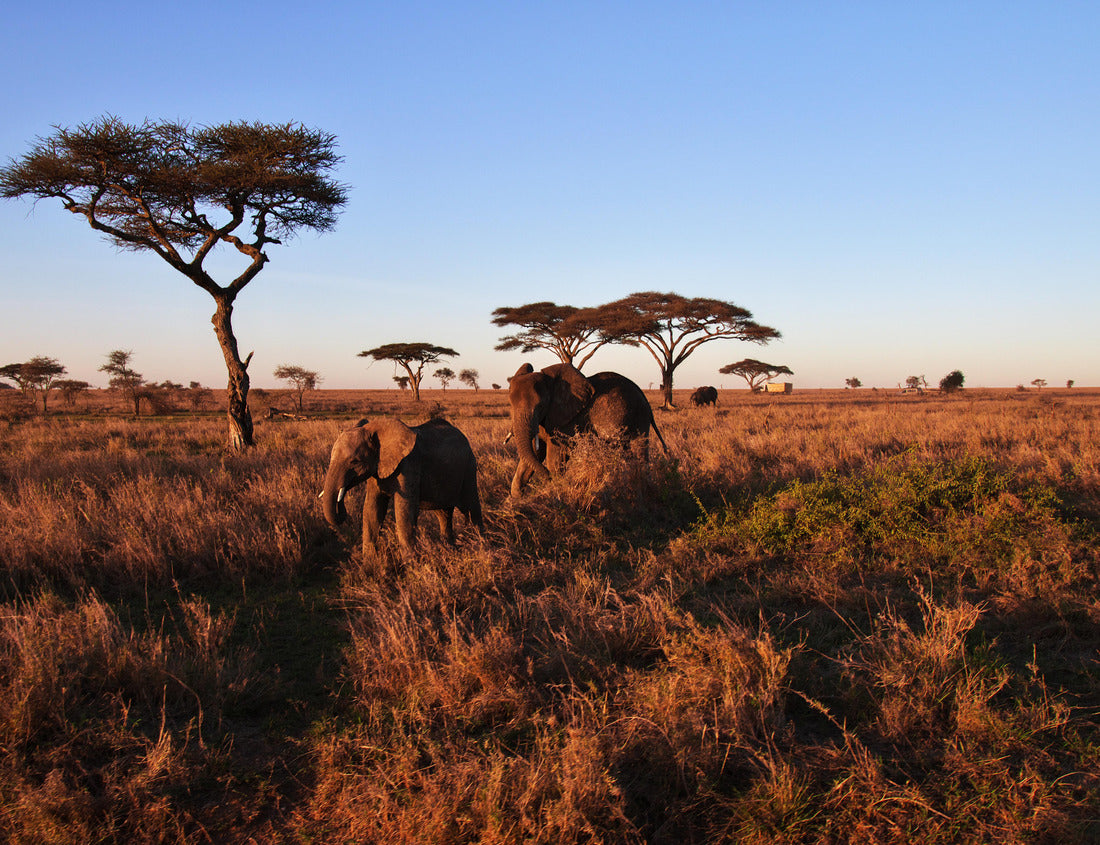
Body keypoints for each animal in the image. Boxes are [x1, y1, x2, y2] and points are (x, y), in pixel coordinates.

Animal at [320, 417, 483, 556]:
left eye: (355, 462)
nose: (342, 510)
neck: (374, 429)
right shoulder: (376, 471)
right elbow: (372, 510)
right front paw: (369, 566)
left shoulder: (409, 465)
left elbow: (404, 511)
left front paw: (411, 565)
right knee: (444, 514)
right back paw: (450, 550)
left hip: (469, 466)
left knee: (471, 508)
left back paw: (479, 545)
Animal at [506, 362, 669, 497]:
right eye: (511, 404)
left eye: (540, 406)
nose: (547, 478)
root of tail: (645, 398)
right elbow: (534, 454)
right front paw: (515, 499)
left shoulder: (565, 420)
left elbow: (555, 458)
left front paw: (554, 490)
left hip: (639, 416)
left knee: (639, 451)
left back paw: (642, 488)